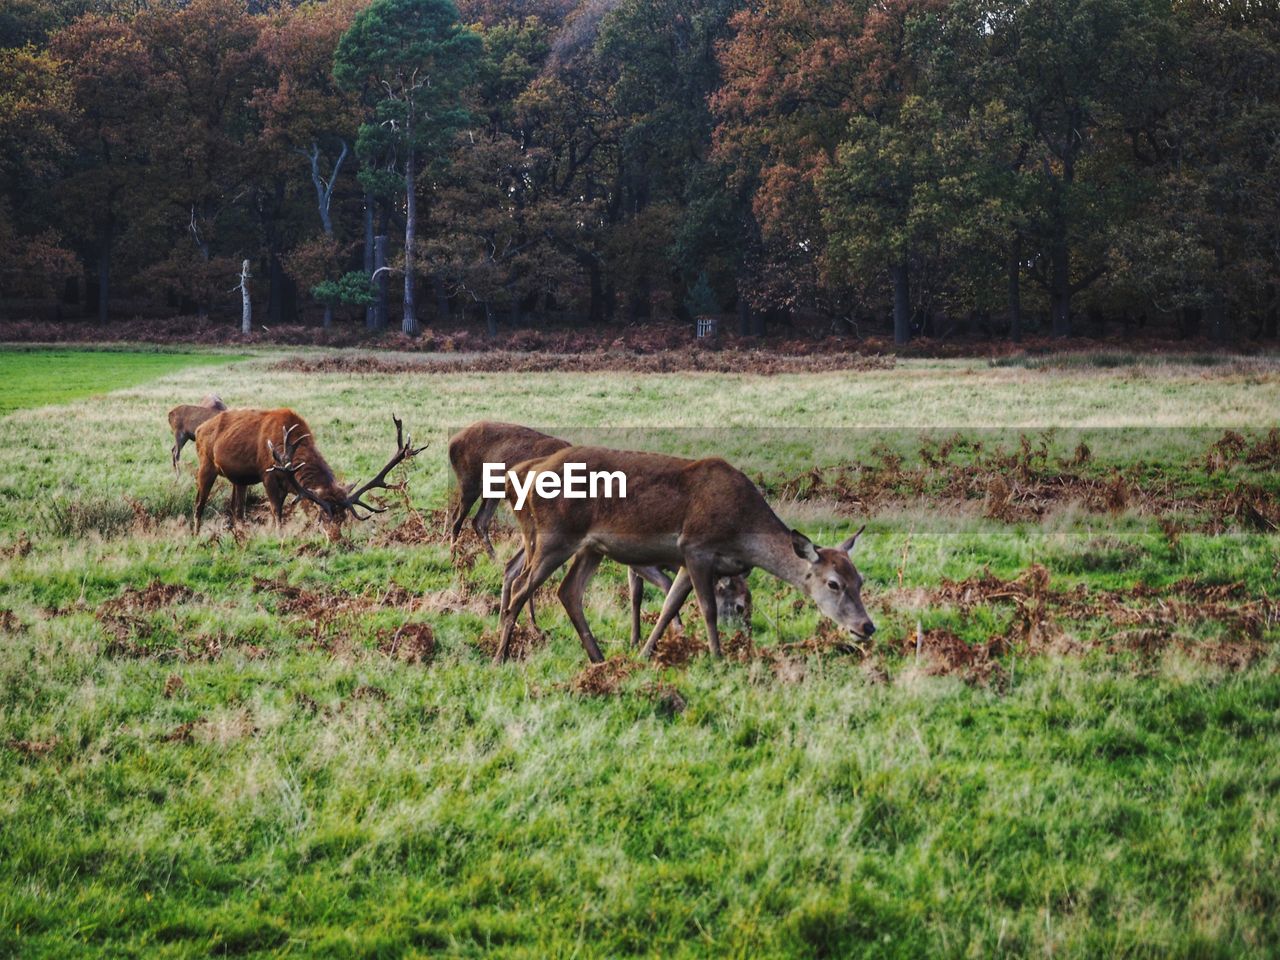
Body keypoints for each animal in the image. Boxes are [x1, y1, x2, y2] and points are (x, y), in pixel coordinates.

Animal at [192, 409, 424, 537]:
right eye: (324, 517)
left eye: (344, 519)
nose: (336, 539)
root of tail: (198, 428)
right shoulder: (267, 474)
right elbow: (276, 511)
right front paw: (279, 534)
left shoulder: (288, 483)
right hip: (206, 463)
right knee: (199, 503)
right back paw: (195, 535)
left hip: (239, 478)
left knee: (236, 508)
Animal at [494, 448, 875, 665]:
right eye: (833, 583)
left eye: (859, 579)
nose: (866, 626)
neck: (742, 532)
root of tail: (524, 475)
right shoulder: (696, 547)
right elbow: (705, 608)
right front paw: (718, 659)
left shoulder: (686, 561)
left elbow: (668, 606)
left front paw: (645, 654)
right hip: (554, 536)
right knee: (522, 587)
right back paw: (500, 656)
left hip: (590, 548)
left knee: (568, 591)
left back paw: (599, 658)